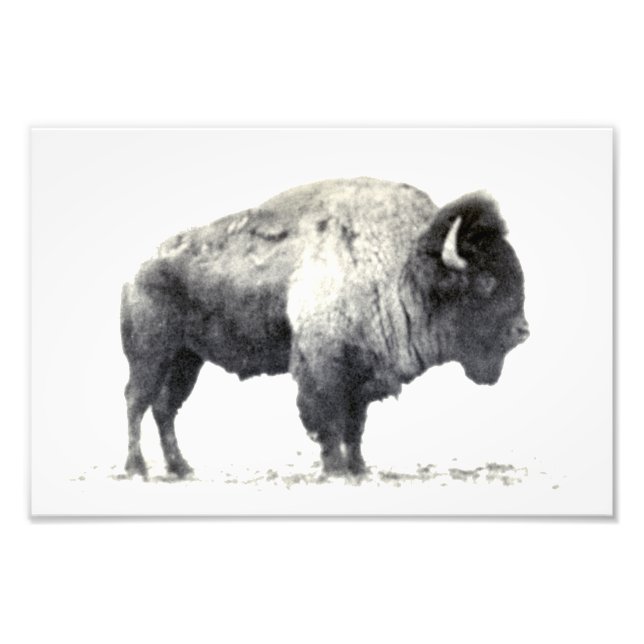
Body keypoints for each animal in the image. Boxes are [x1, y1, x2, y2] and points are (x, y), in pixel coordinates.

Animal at [120, 177, 529, 478]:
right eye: (486, 281)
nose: (523, 331)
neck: (404, 268)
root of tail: (139, 270)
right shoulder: (323, 369)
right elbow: (328, 421)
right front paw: (336, 470)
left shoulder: (361, 377)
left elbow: (355, 426)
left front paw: (359, 468)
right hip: (151, 355)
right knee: (137, 401)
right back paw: (137, 468)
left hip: (186, 359)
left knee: (164, 408)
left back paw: (180, 467)